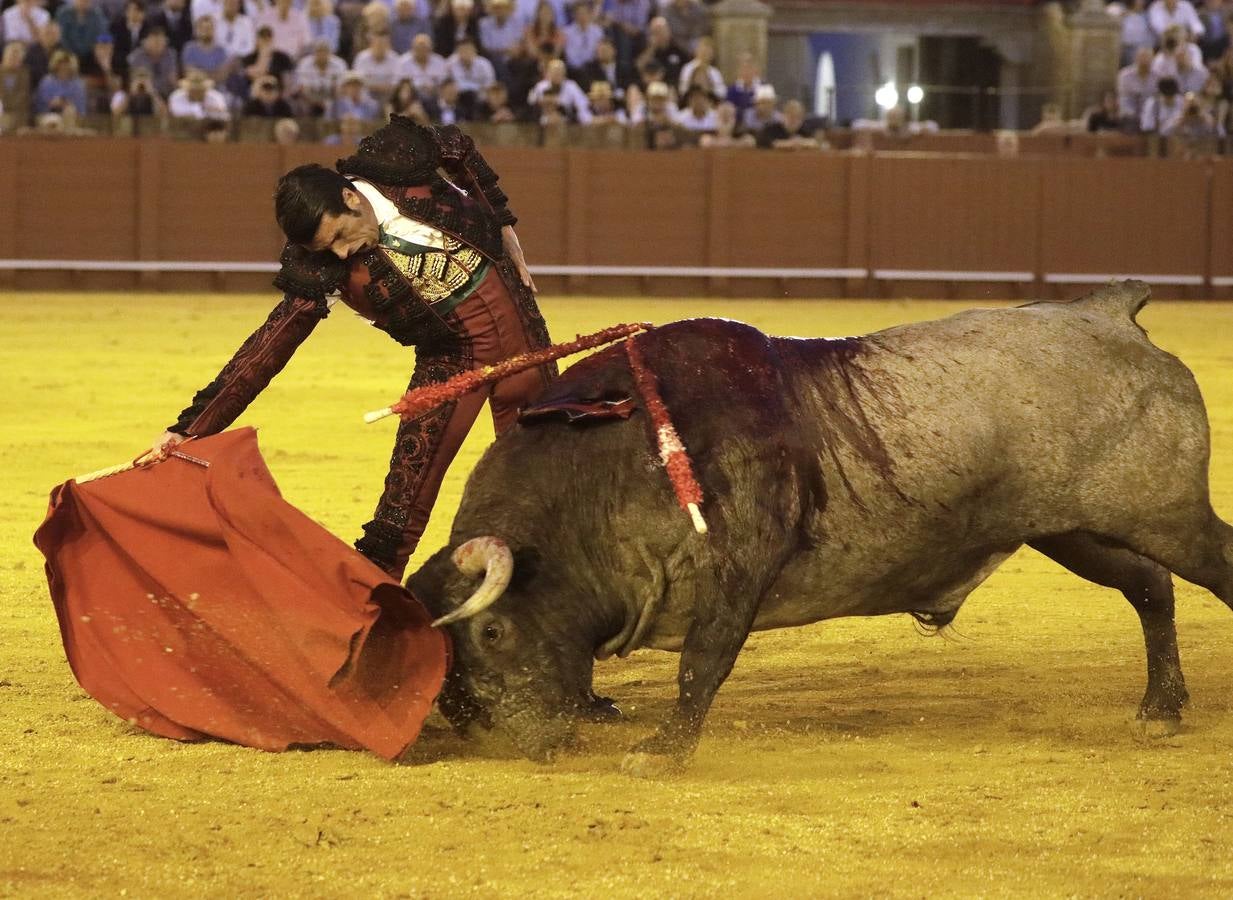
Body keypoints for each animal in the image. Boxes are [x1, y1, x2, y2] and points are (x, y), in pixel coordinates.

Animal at [406, 283, 1233, 774]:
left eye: (490, 632)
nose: (509, 739)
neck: (613, 459)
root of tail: (1106, 313)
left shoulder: (740, 566)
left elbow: (700, 663)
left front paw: (663, 752)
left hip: (1162, 514)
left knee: (1206, 568)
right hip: (1072, 531)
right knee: (1150, 589)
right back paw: (1159, 710)